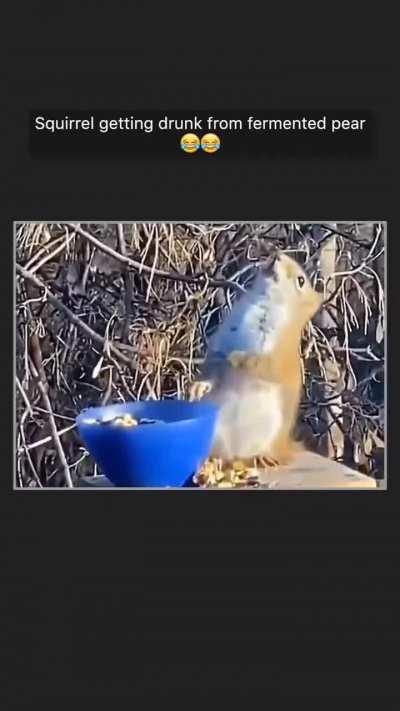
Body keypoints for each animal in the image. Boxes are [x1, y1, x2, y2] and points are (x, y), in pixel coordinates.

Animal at [189, 251, 323, 467]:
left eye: (301, 281)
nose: (276, 254)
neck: (262, 300)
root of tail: (282, 447)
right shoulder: (224, 337)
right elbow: (214, 361)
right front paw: (200, 385)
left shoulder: (278, 352)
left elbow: (261, 364)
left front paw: (235, 357)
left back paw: (258, 458)